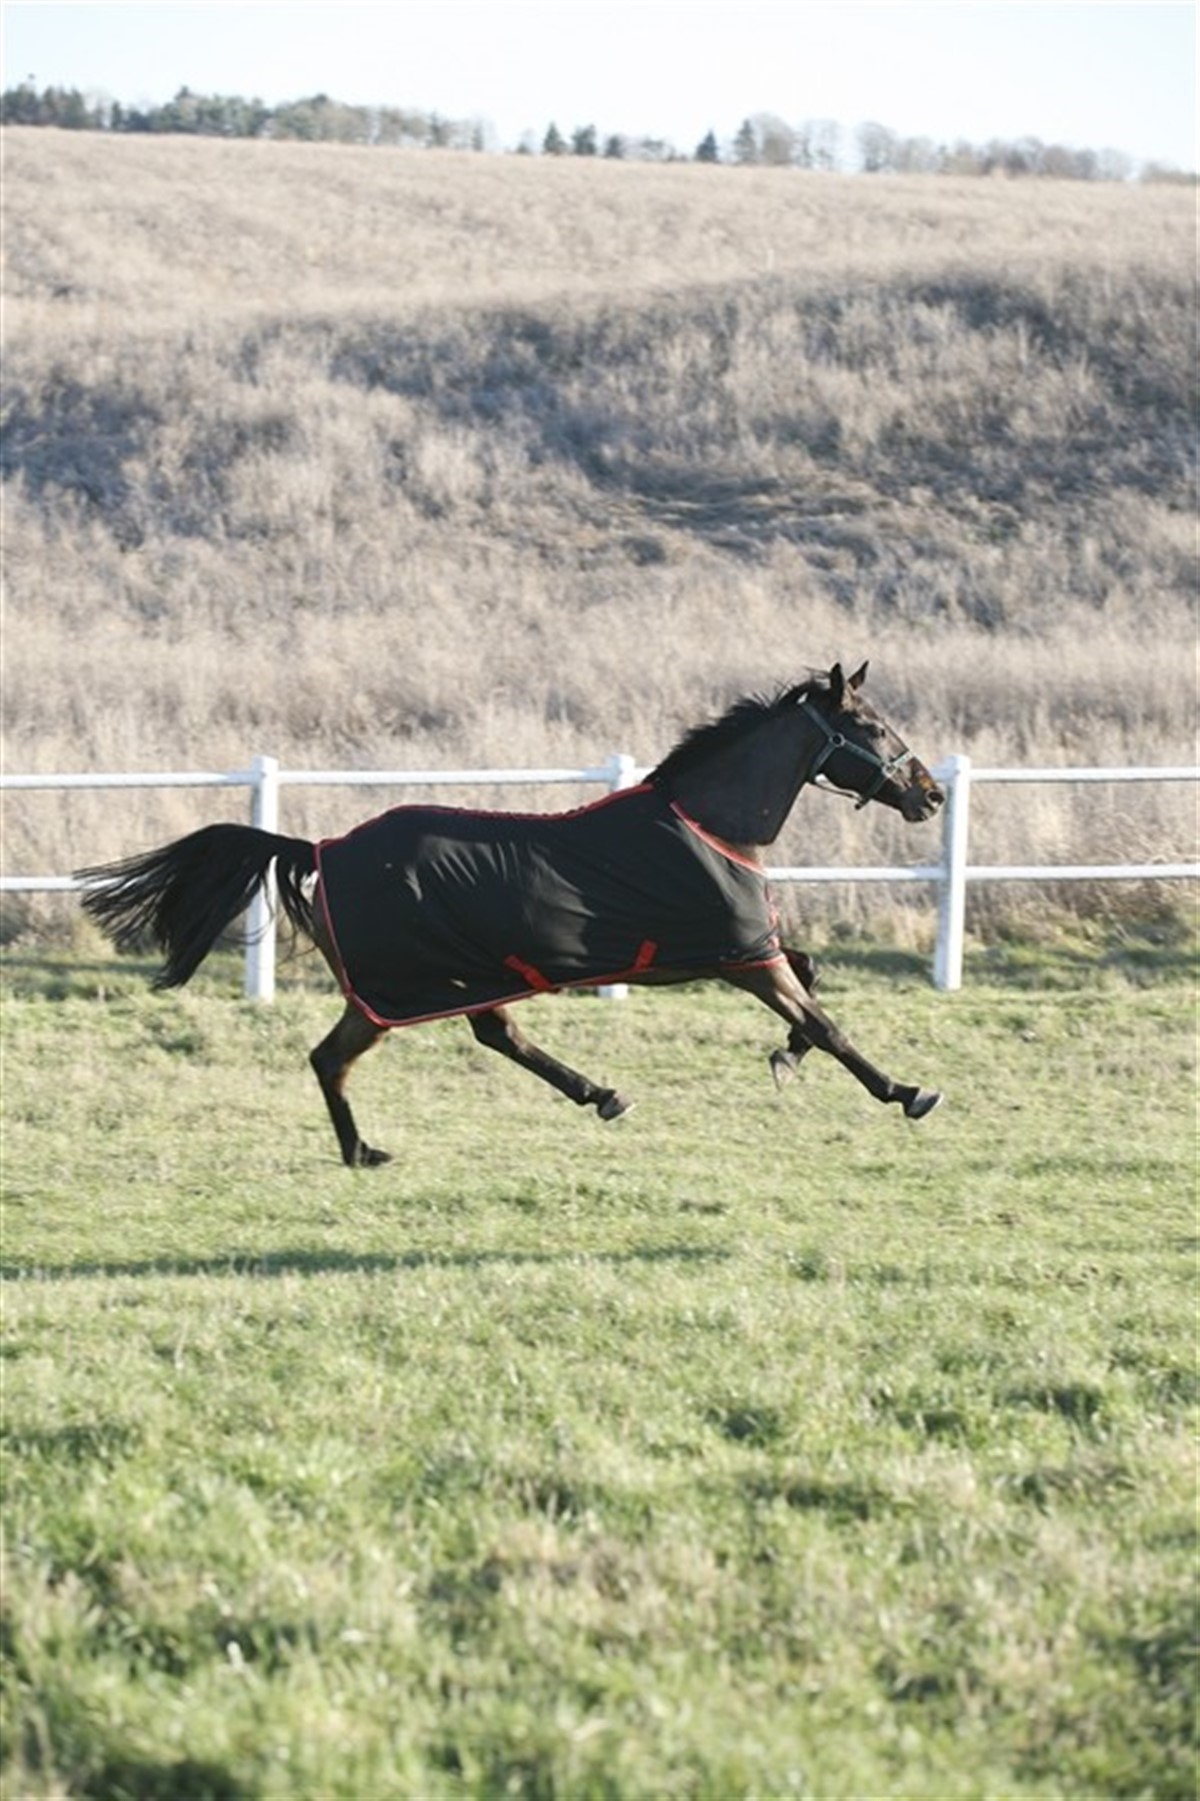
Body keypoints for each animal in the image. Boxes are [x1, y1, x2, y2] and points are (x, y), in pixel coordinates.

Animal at [78, 661, 946, 1167]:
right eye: (871, 726)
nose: (931, 793)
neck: (709, 821)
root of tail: (322, 847)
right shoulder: (739, 955)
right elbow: (825, 1021)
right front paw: (906, 1091)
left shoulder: (735, 949)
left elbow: (812, 979)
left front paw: (784, 1058)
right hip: (404, 986)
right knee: (345, 1056)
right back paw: (370, 1149)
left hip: (457, 976)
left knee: (473, 1038)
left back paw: (589, 1096)